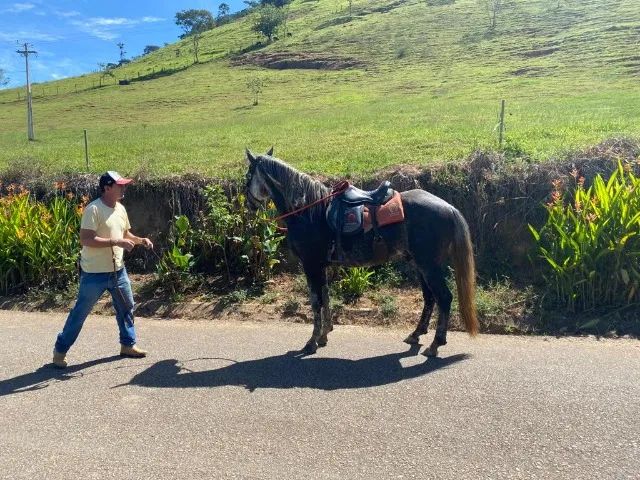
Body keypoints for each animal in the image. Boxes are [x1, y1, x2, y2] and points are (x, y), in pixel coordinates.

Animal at [244, 148, 479, 357]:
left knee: (444, 298)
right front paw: (324, 336)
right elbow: (326, 298)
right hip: (420, 265)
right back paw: (416, 334)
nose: (248, 205)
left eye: (248, 176)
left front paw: (311, 342)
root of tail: (449, 208)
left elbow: (315, 302)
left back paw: (435, 344)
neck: (308, 211)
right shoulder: (322, 266)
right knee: (429, 298)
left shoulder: (311, 266)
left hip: (429, 266)